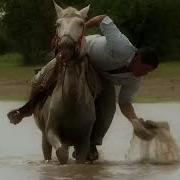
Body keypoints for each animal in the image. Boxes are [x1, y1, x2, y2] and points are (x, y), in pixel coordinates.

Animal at [33, 0, 99, 164]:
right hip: (44, 137)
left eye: (81, 23)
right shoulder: (51, 132)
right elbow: (61, 153)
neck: (71, 102)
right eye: (58, 24)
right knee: (47, 153)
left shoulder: (83, 141)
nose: (66, 46)